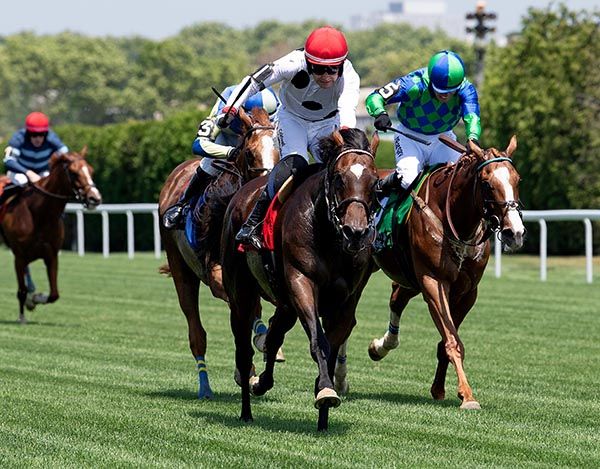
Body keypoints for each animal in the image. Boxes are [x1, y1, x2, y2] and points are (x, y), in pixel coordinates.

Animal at [0, 148, 101, 324]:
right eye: (73, 172)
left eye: (91, 170)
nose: (94, 198)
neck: (39, 214)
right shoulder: (19, 256)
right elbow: (21, 290)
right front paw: (22, 316)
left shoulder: (52, 255)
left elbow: (54, 294)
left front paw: (35, 299)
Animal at [159, 107, 282, 398]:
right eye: (250, 153)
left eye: (279, 150)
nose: (268, 185)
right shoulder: (215, 275)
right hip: (181, 271)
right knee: (197, 334)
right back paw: (205, 386)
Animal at [220, 129, 380, 432]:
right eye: (339, 177)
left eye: (375, 182)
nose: (355, 233)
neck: (329, 235)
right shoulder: (301, 282)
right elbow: (320, 342)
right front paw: (326, 390)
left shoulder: (346, 301)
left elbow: (331, 348)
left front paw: (323, 414)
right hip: (242, 296)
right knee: (244, 351)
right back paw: (246, 409)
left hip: (285, 304)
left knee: (273, 336)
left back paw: (262, 383)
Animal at [368, 136, 524, 410]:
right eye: (487, 184)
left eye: (517, 180)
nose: (514, 233)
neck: (458, 225)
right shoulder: (433, 281)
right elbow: (452, 340)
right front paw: (468, 395)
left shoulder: (467, 292)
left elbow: (447, 341)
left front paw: (442, 389)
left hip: (409, 278)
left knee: (396, 299)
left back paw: (381, 346)